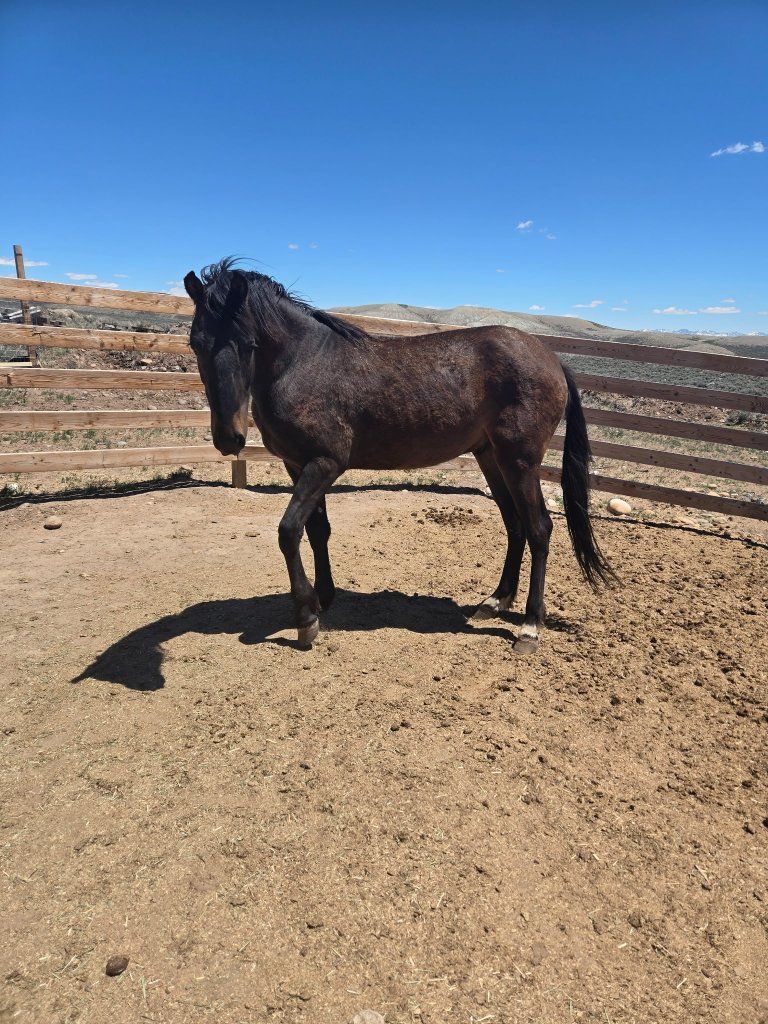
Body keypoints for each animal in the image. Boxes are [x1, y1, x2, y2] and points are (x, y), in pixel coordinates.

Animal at [183, 258, 614, 652]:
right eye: (196, 343)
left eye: (248, 344)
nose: (229, 439)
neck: (303, 363)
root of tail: (552, 359)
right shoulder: (298, 465)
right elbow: (317, 530)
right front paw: (323, 598)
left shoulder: (325, 464)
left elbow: (289, 531)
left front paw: (306, 619)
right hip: (491, 458)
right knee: (515, 525)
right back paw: (494, 601)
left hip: (520, 461)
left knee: (539, 528)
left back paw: (529, 626)